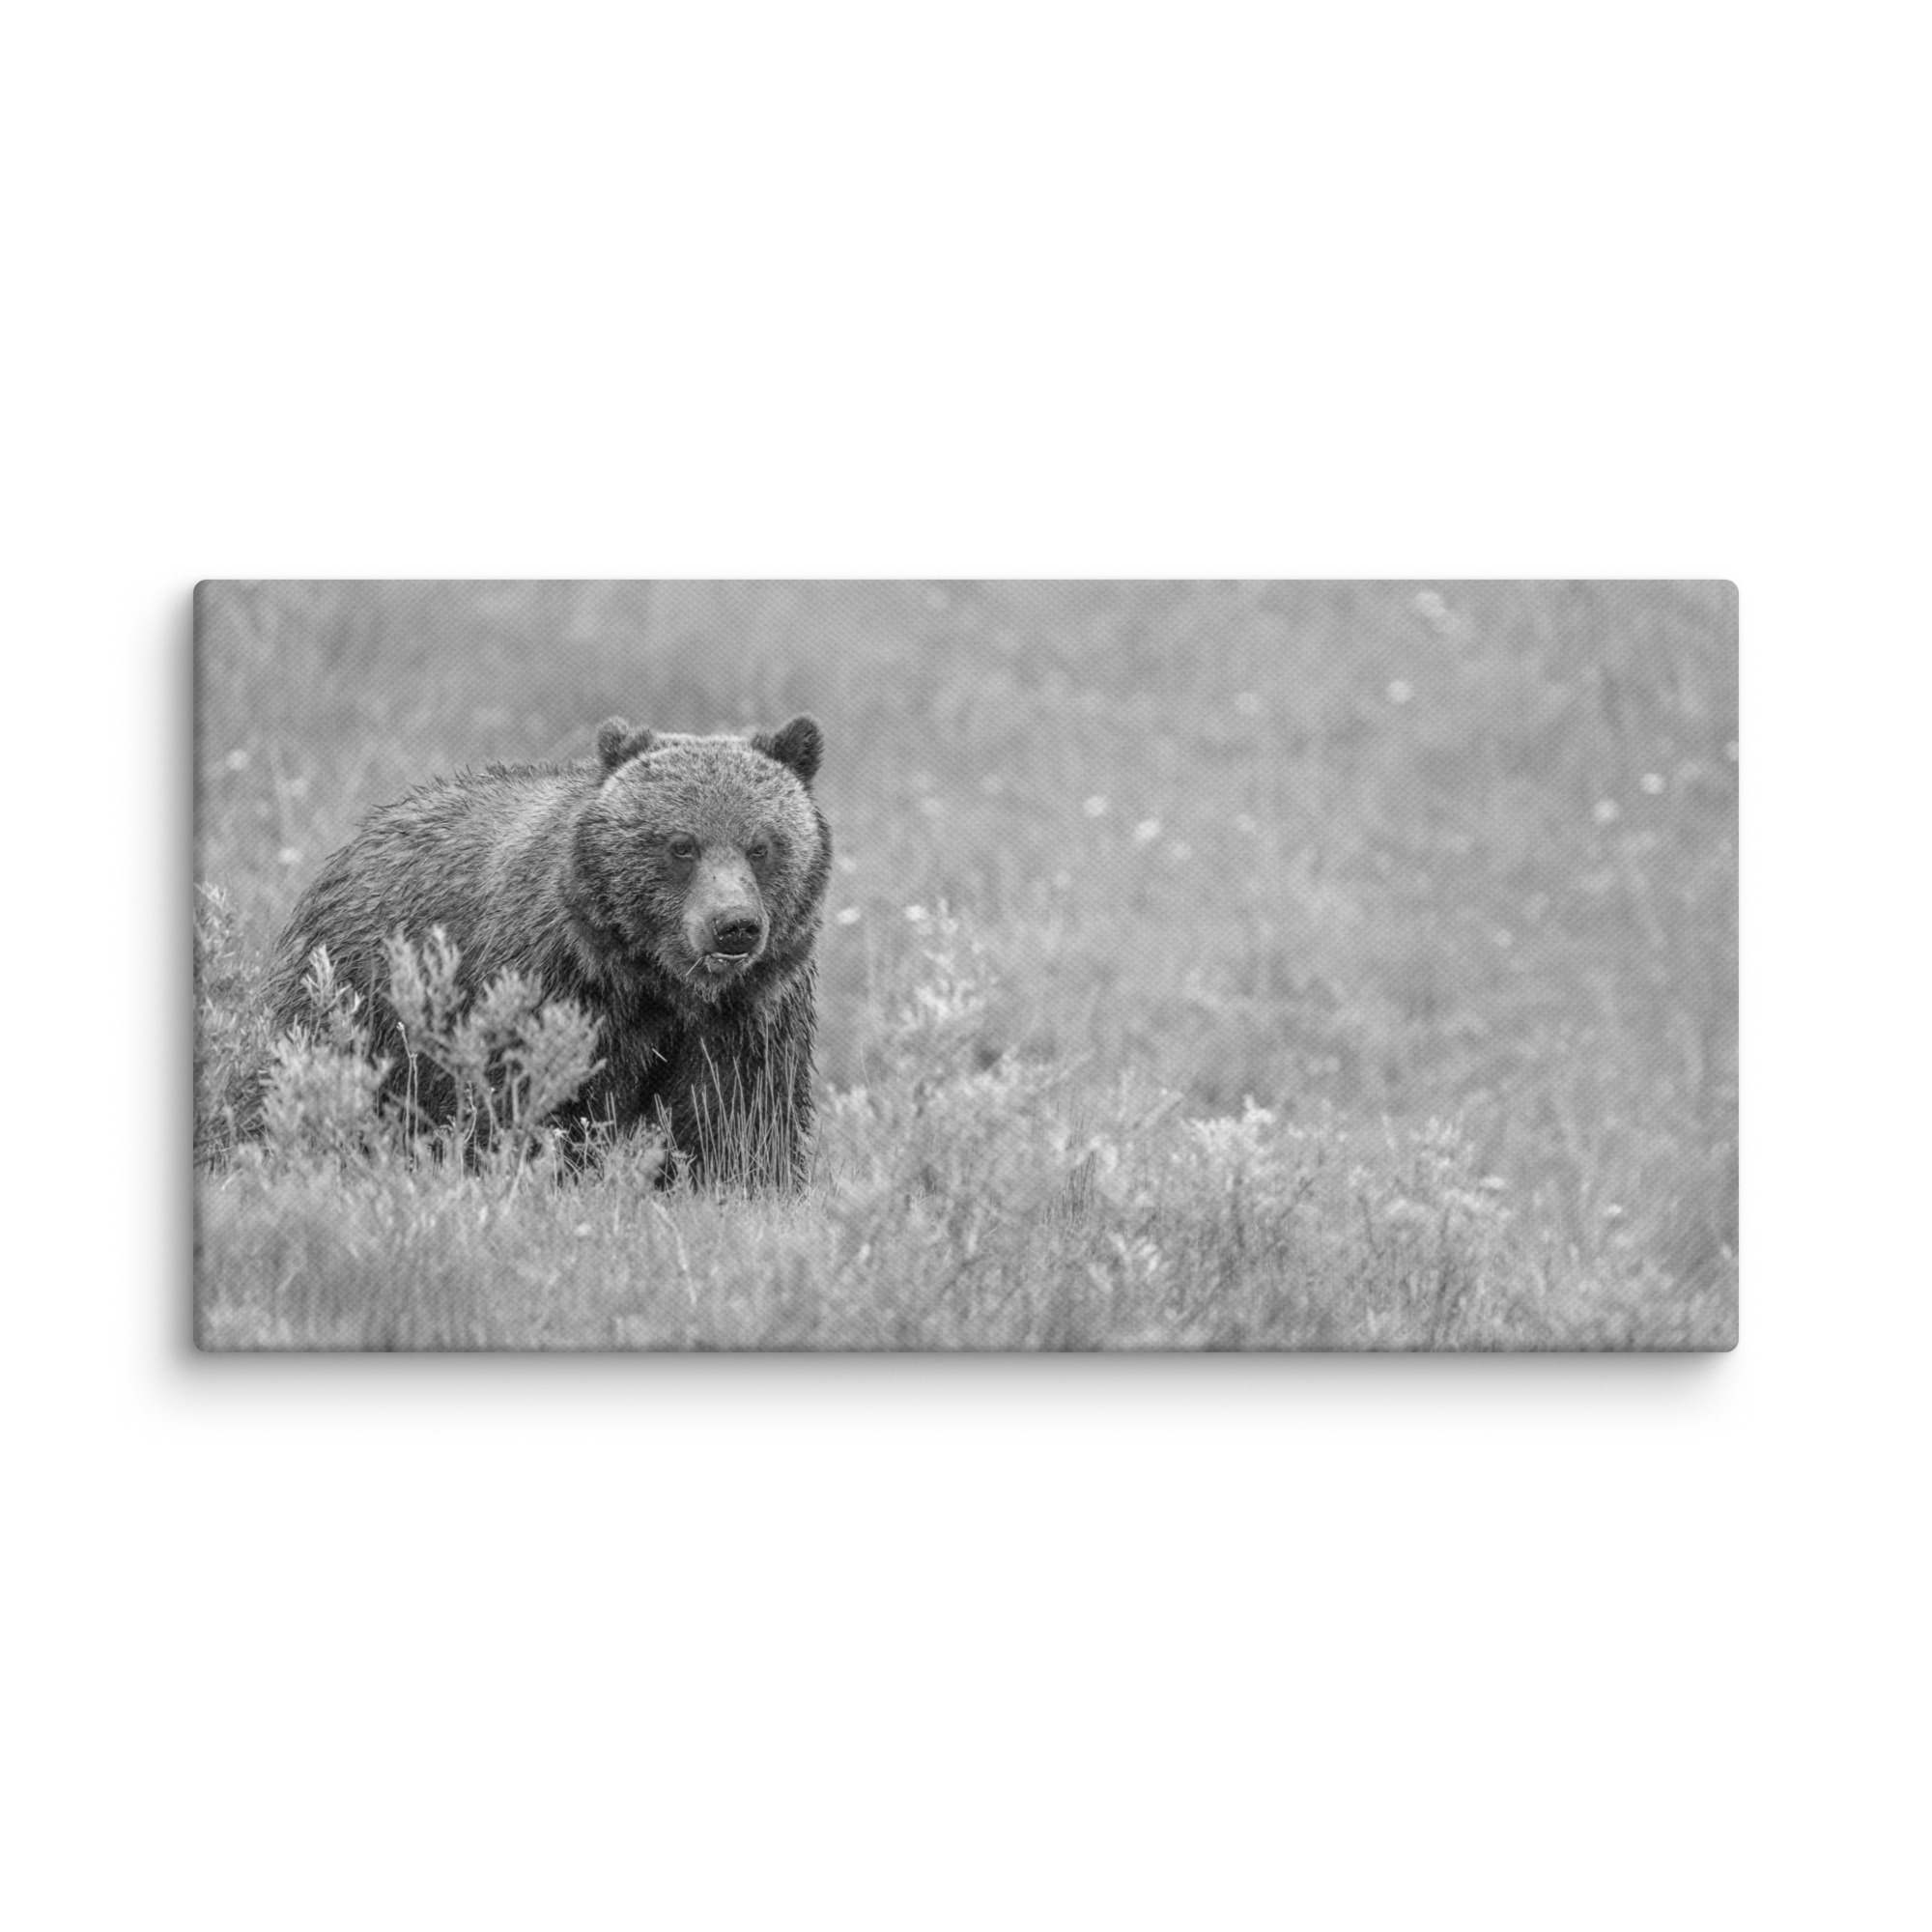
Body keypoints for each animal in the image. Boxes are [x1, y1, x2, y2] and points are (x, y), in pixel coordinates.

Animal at [263, 714, 830, 1187]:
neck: (656, 980)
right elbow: (536, 1099)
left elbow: (739, 1117)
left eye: (761, 845)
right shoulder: (554, 985)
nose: (734, 926)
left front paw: (742, 1185)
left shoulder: (749, 1012)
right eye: (681, 845)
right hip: (359, 995)